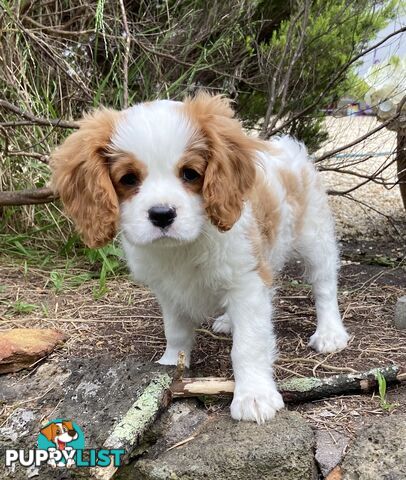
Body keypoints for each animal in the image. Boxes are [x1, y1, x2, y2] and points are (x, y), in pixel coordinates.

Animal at [50, 94, 348, 424]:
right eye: (128, 179)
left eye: (190, 174)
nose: (162, 214)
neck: (183, 247)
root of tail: (285, 145)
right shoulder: (168, 292)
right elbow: (176, 331)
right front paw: (170, 365)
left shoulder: (247, 281)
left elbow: (249, 344)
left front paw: (254, 395)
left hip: (314, 236)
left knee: (324, 285)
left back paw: (330, 332)